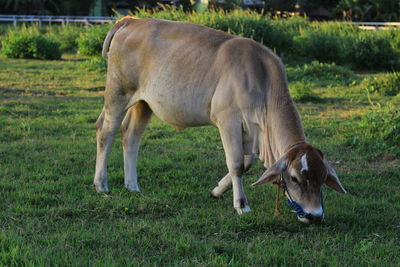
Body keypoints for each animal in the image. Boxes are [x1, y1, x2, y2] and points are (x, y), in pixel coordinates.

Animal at [94, 16, 346, 224]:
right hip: (118, 92)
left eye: (323, 178)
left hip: (144, 103)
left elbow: (246, 163)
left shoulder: (250, 130)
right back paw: (101, 184)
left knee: (131, 136)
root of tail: (131, 20)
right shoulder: (228, 120)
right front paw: (241, 205)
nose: (315, 215)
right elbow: (236, 164)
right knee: (106, 132)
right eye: (294, 178)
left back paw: (132, 185)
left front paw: (217, 190)